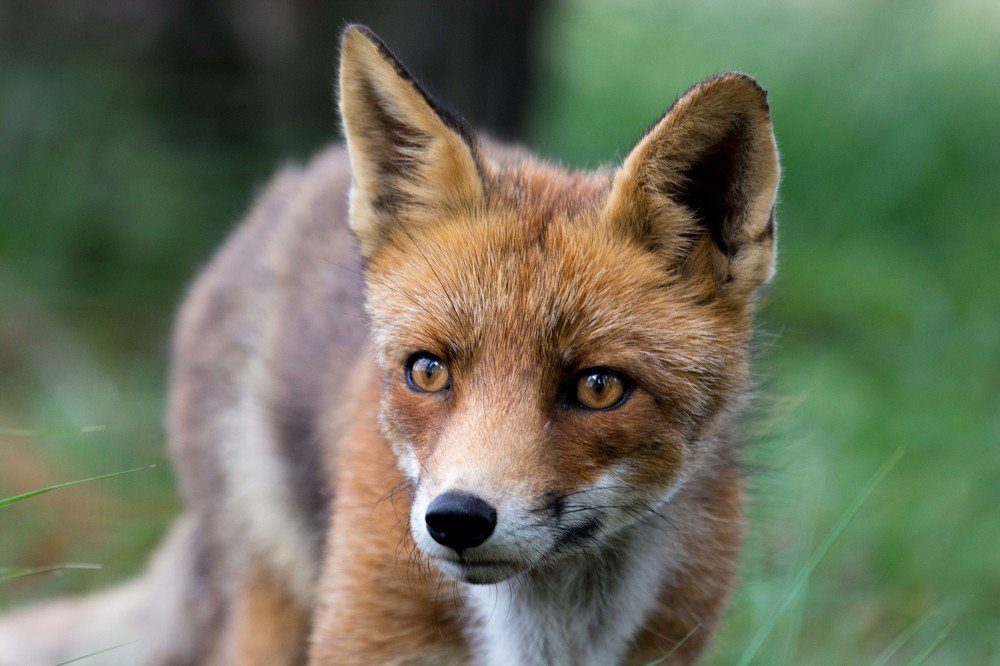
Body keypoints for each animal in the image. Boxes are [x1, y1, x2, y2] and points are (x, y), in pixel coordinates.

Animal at [0, 24, 780, 666]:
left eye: (599, 386)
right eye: (427, 371)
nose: (457, 518)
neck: (545, 637)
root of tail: (299, 177)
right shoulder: (371, 634)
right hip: (269, 600)